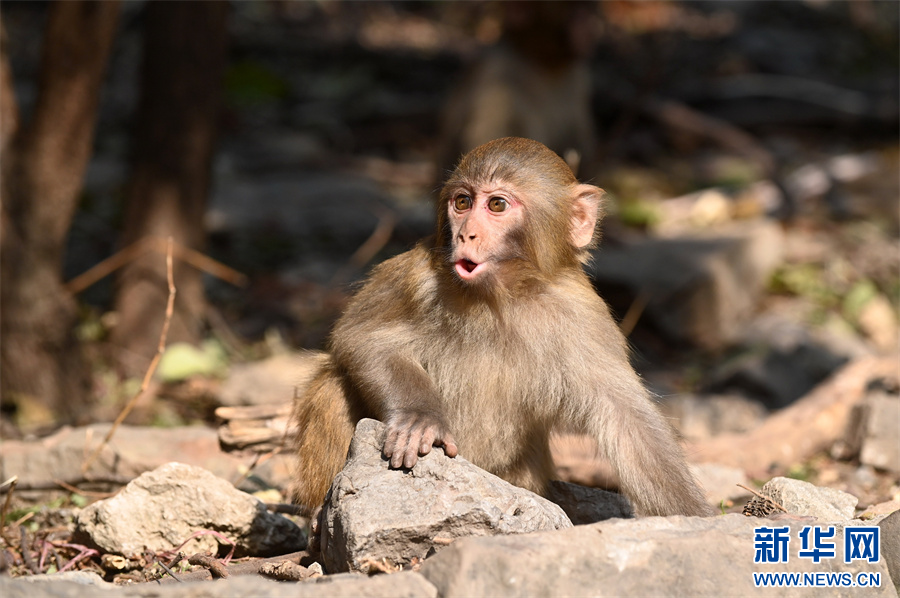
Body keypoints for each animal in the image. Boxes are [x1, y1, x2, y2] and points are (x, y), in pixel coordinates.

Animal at [294, 138, 712, 516]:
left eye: (497, 205)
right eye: (462, 202)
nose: (466, 234)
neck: (501, 296)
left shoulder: (584, 315)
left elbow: (627, 420)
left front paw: (697, 517)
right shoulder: (416, 276)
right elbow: (363, 338)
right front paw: (419, 417)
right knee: (334, 383)